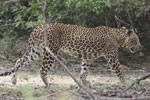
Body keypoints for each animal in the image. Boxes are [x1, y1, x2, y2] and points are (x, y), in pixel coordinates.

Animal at [0, 23, 142, 87]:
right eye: (135, 39)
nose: (141, 46)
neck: (118, 37)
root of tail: (38, 27)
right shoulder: (111, 56)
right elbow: (118, 70)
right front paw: (125, 82)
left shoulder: (87, 58)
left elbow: (84, 71)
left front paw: (85, 83)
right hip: (50, 52)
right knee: (42, 69)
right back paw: (47, 83)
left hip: (36, 51)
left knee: (19, 61)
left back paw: (13, 80)